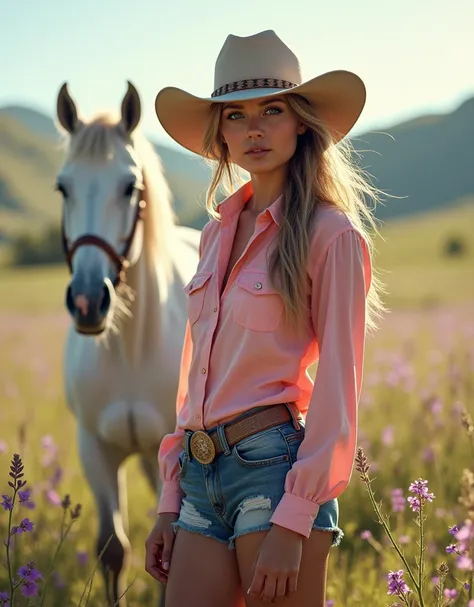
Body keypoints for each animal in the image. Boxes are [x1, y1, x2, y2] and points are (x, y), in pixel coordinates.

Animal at [55, 82, 200, 607]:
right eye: (63, 187)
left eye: (129, 187)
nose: (87, 301)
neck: (131, 350)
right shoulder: (94, 449)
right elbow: (113, 549)